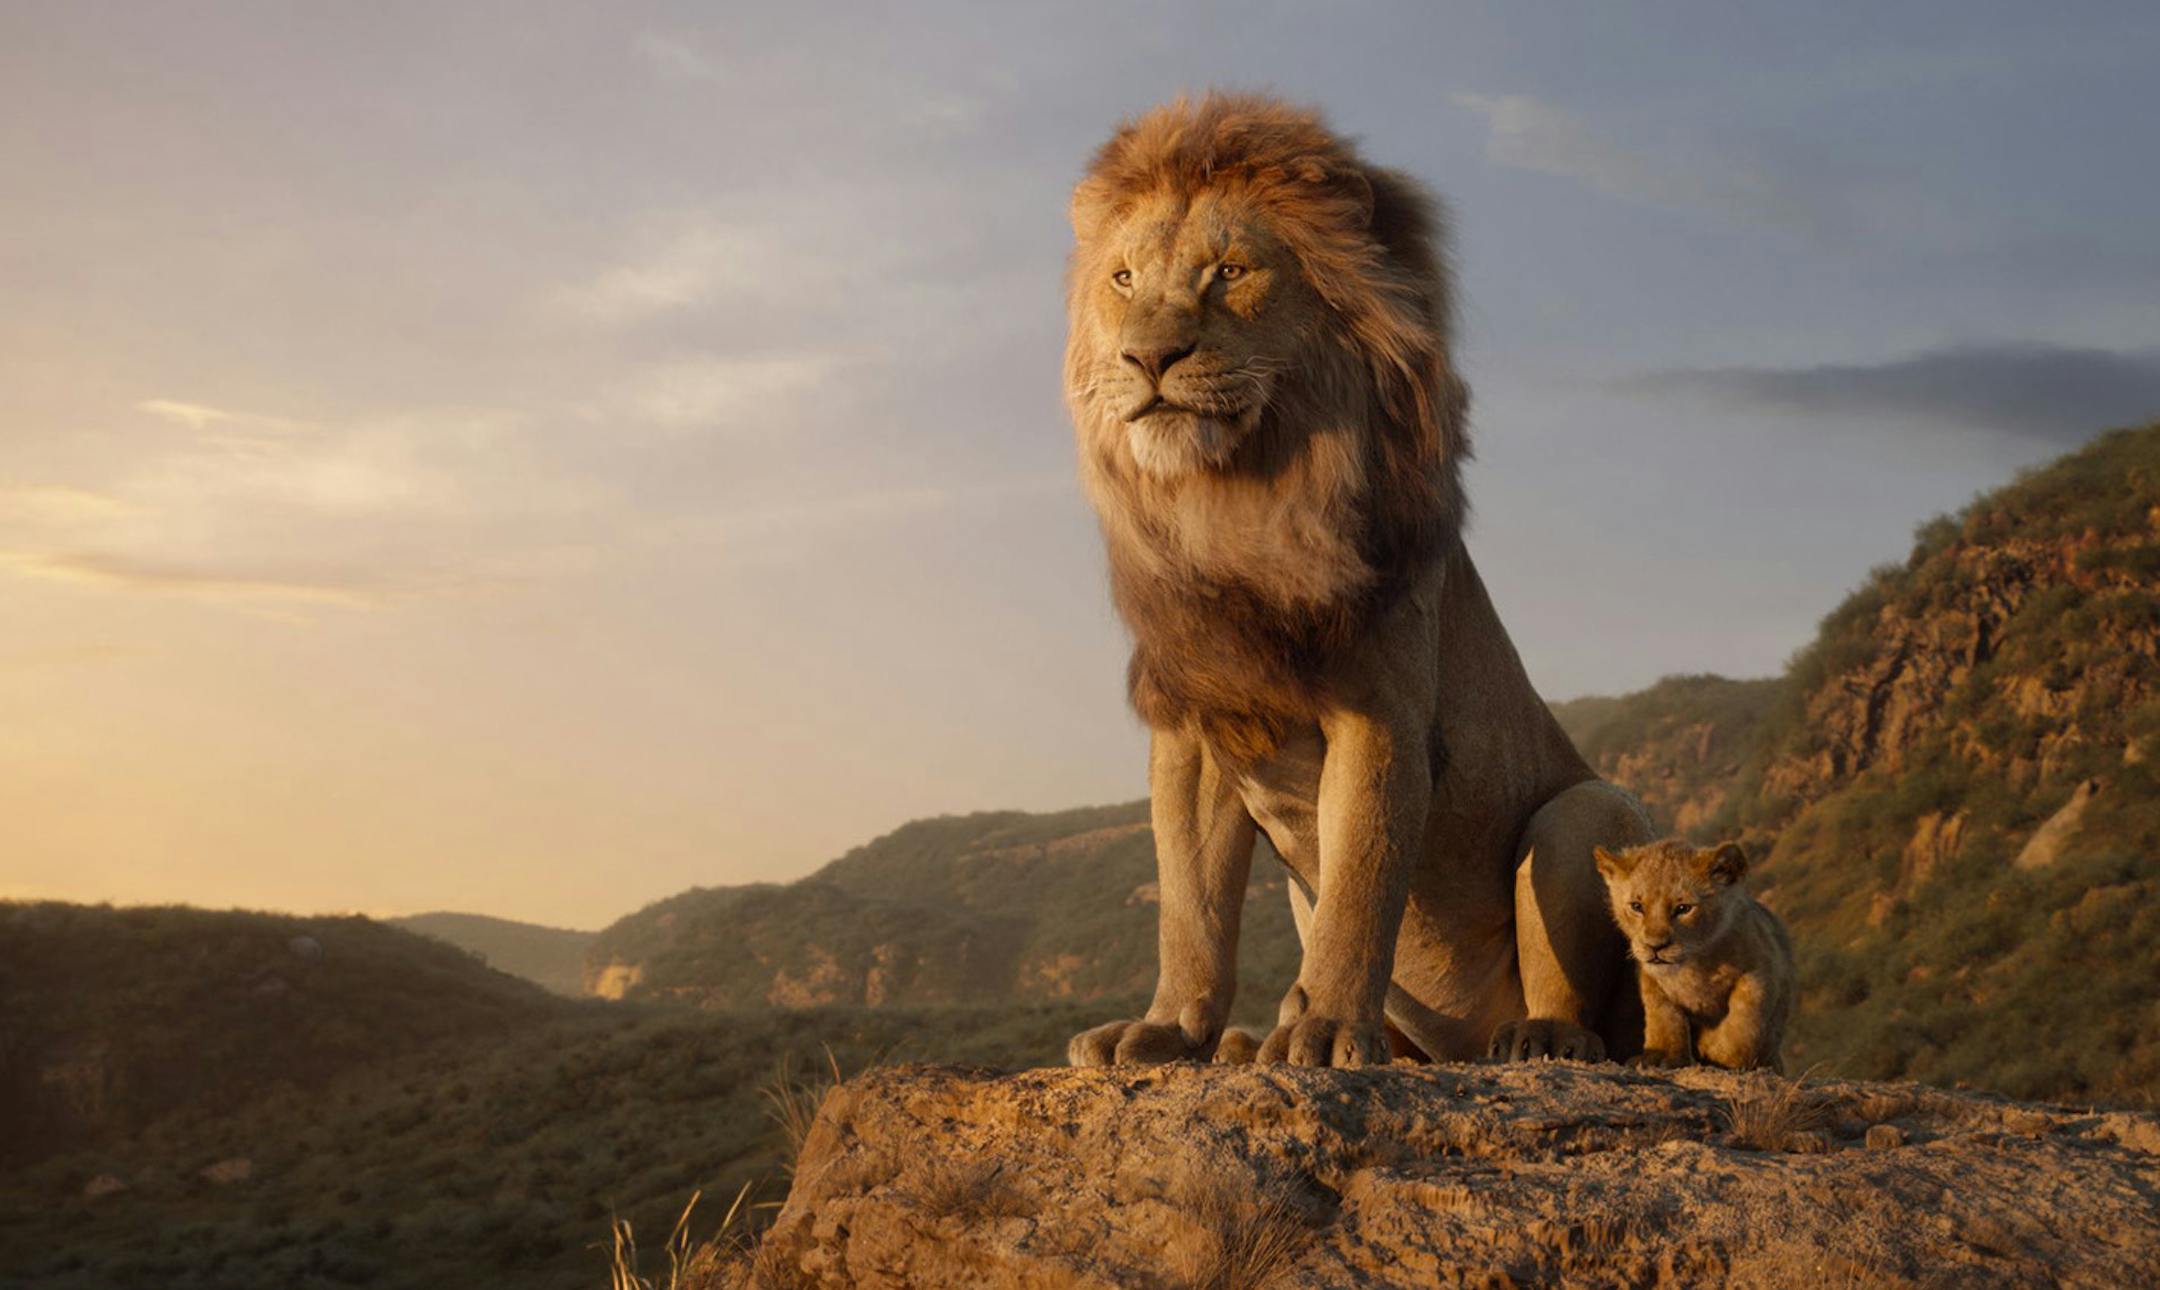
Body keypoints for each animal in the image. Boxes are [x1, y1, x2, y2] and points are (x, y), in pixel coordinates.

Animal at [1061, 93, 1655, 1069]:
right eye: (1122, 280)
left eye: (1230, 272)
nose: (1148, 358)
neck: (1236, 504)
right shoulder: (1196, 725)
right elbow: (1191, 906)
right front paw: (1168, 1029)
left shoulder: (1381, 714)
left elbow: (1360, 885)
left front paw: (1330, 1029)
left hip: (1585, 812)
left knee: (1585, 1006)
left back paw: (1536, 1038)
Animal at [1595, 839, 1795, 1072]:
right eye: (1637, 906)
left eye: (1683, 908)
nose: (1655, 946)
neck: (1694, 963)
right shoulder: (1652, 981)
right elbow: (1663, 1018)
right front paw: (1661, 1057)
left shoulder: (1760, 970)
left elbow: (1743, 1021)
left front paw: (1722, 1056)